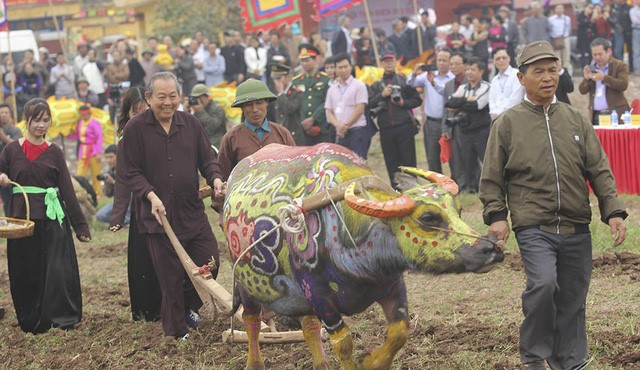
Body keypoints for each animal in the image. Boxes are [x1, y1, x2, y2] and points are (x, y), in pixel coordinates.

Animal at [222, 143, 502, 368]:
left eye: (459, 211)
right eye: (429, 218)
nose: (491, 249)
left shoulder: (392, 284)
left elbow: (400, 331)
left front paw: (373, 361)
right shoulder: (318, 294)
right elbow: (344, 343)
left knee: (309, 327)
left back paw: (321, 365)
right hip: (248, 288)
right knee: (251, 321)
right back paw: (254, 363)